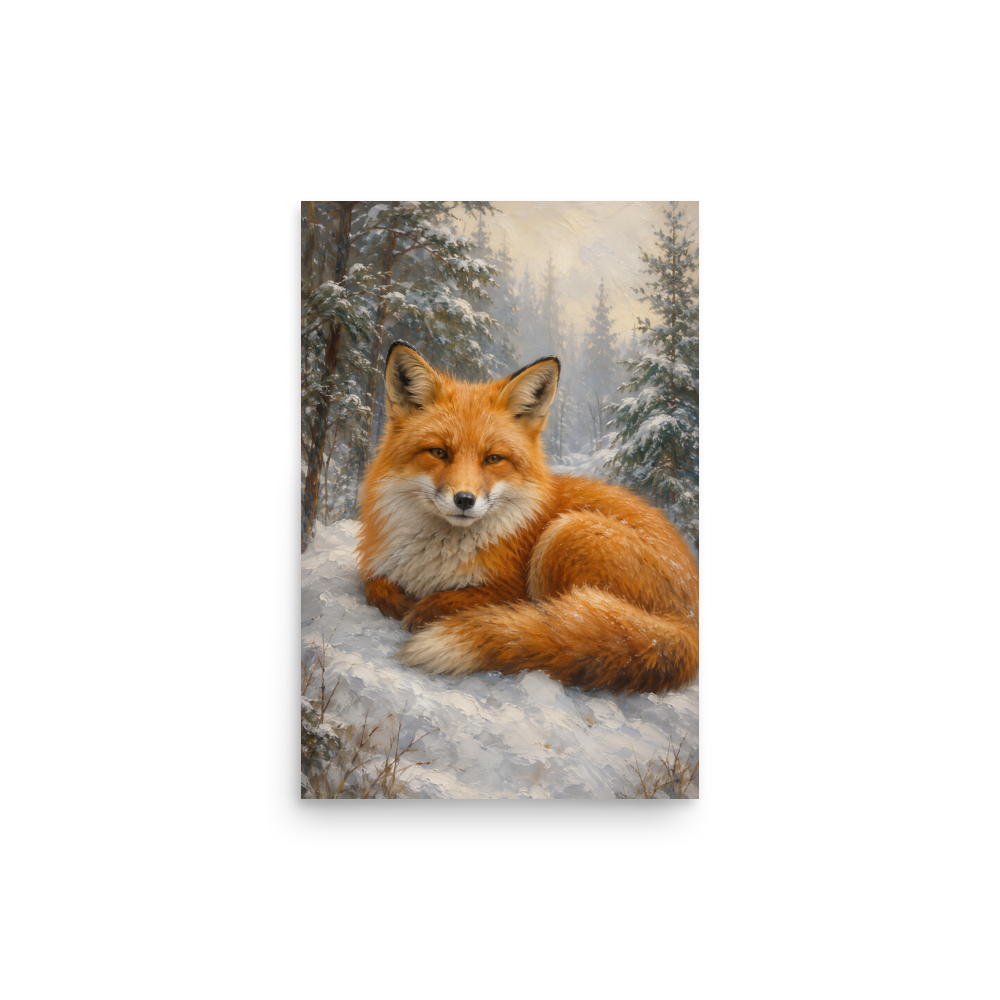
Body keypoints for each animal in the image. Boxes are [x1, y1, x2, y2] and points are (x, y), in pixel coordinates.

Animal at [355, 341, 699, 695]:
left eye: (493, 459)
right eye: (439, 452)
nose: (464, 500)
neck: (435, 559)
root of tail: (688, 622)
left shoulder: (510, 587)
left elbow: (465, 599)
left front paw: (426, 609)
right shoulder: (379, 567)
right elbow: (374, 585)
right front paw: (401, 601)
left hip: (567, 533)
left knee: (561, 622)